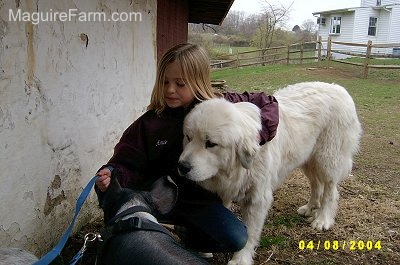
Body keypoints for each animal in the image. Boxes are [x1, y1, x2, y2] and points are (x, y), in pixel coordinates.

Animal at [178, 81, 362, 262]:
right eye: (188, 137)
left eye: (210, 144)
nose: (182, 166)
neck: (238, 166)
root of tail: (339, 88)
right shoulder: (226, 190)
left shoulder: (257, 199)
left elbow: (250, 233)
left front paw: (241, 259)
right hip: (307, 159)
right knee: (316, 185)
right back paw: (310, 208)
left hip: (327, 160)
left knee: (331, 190)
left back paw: (323, 219)